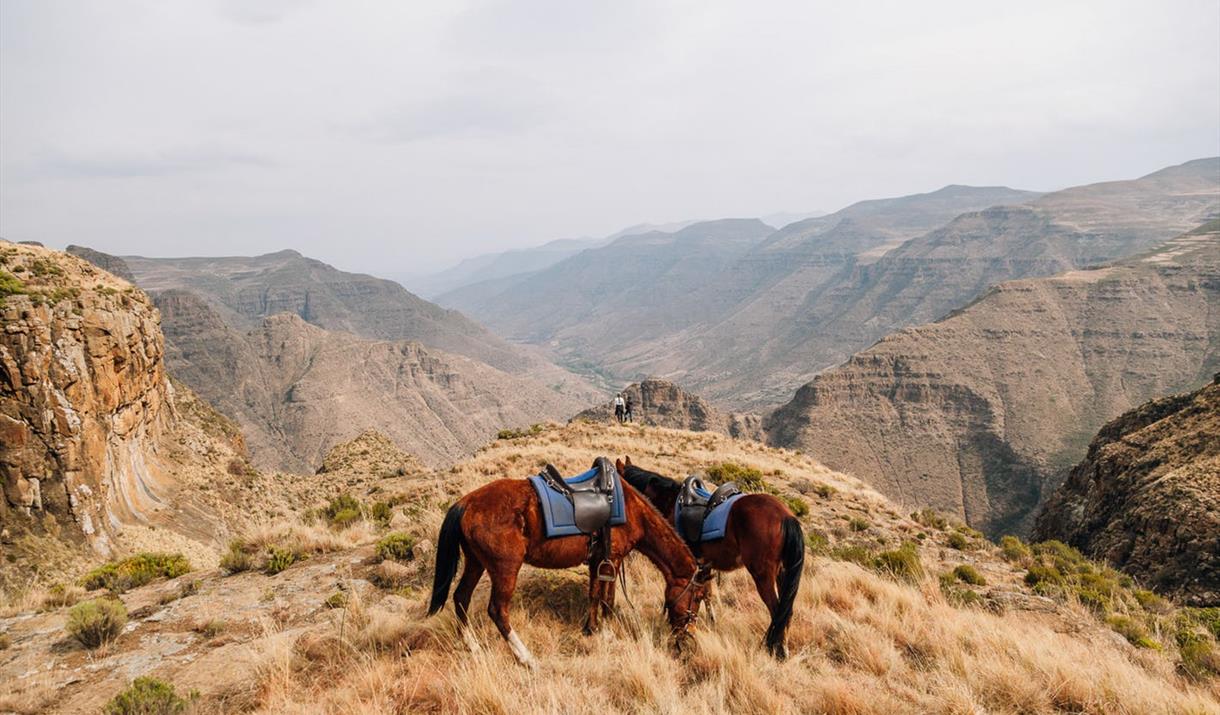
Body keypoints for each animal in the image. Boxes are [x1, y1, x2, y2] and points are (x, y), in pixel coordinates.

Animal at [427, 468, 707, 663]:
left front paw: (591, 629)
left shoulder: (597, 561)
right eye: (697, 597)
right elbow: (608, 599)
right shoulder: (613, 560)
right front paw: (607, 633)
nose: (688, 635)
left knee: (461, 597)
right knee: (497, 610)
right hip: (505, 568)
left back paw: (472, 645)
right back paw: (526, 657)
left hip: (475, 562)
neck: (631, 510)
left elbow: (594, 595)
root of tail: (465, 503)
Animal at [614, 456, 805, 658]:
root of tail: (786, 516)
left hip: (763, 575)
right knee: (787, 611)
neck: (669, 502)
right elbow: (707, 593)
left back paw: (777, 650)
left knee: (777, 611)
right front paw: (710, 622)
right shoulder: (703, 564)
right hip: (783, 573)